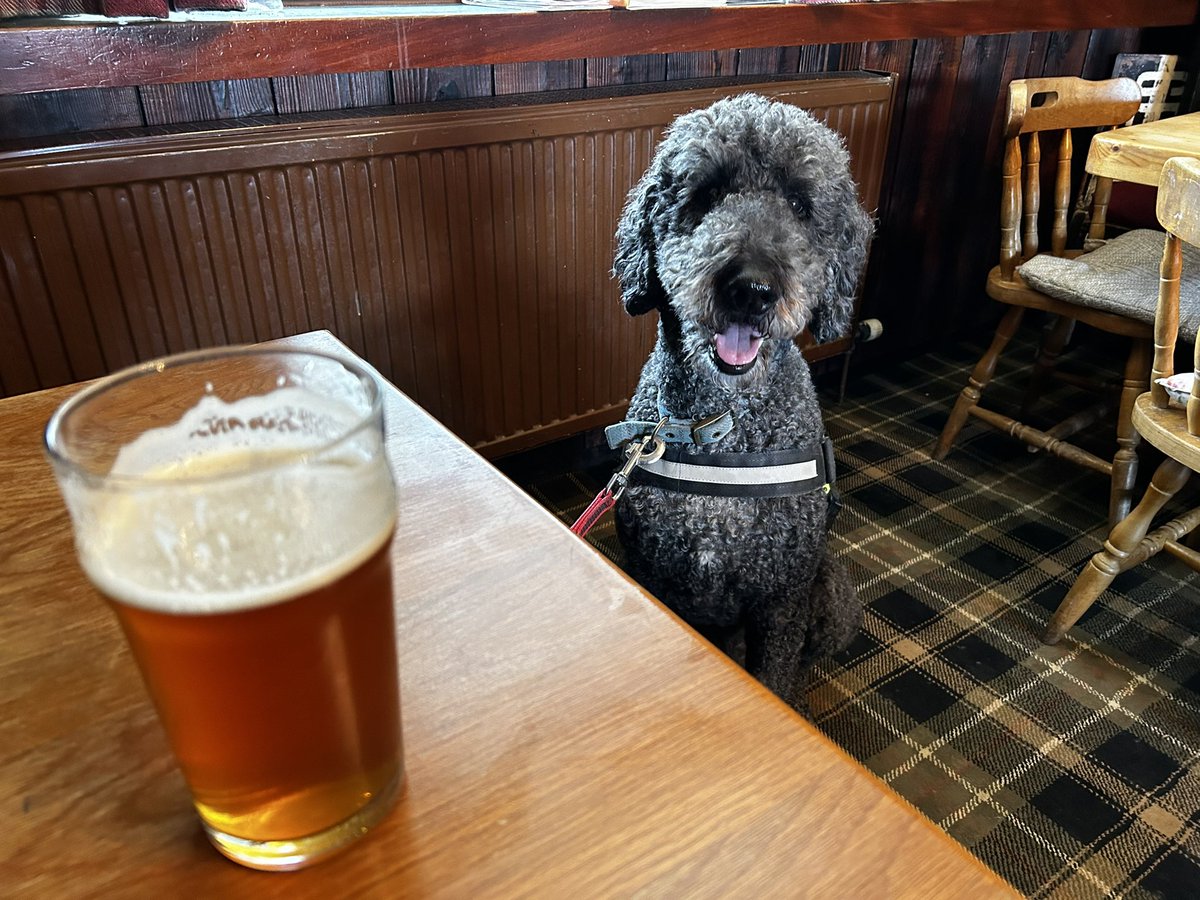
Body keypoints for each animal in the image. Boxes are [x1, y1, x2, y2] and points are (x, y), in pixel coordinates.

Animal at [614, 91, 868, 710]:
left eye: (799, 204)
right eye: (706, 194)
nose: (751, 288)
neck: (722, 427)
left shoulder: (780, 598)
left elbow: (774, 672)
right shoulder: (650, 571)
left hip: (830, 594)